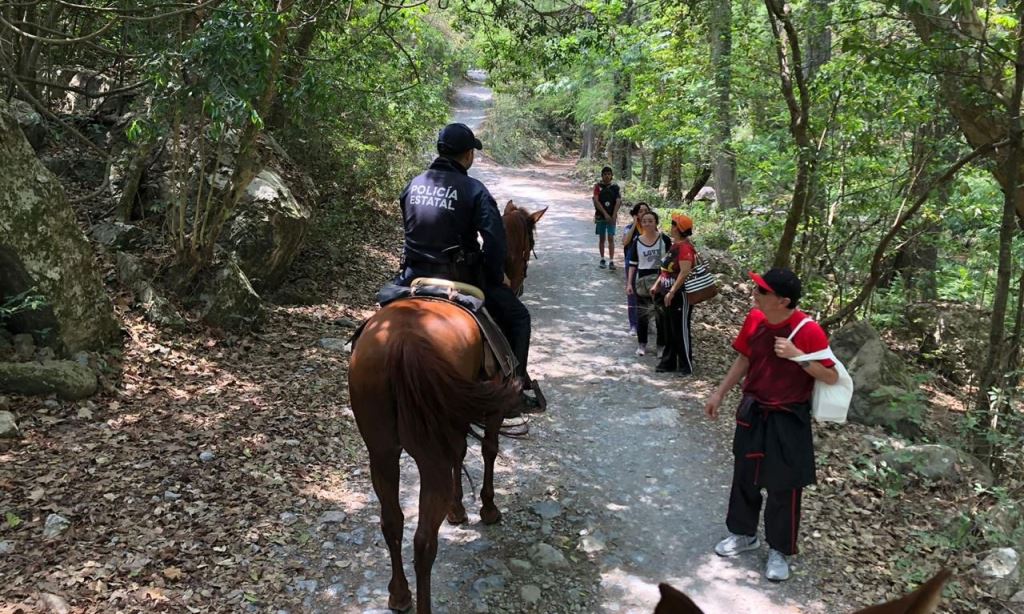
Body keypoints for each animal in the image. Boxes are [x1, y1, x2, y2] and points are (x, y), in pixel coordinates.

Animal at [350, 202, 544, 614]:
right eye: (527, 247)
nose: (517, 283)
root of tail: (402, 341)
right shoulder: (491, 412)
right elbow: (488, 450)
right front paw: (487, 509)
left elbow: (462, 454)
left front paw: (458, 509)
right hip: (428, 455)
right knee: (424, 541)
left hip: (381, 450)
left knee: (392, 522)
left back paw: (399, 594)